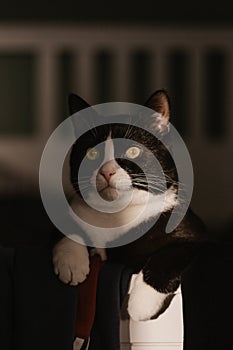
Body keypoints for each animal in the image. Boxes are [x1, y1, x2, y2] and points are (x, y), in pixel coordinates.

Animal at [52, 89, 206, 320]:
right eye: (91, 152)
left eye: (134, 151)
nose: (106, 171)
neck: (115, 215)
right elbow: (68, 228)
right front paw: (71, 262)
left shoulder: (194, 234)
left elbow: (169, 255)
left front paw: (142, 304)